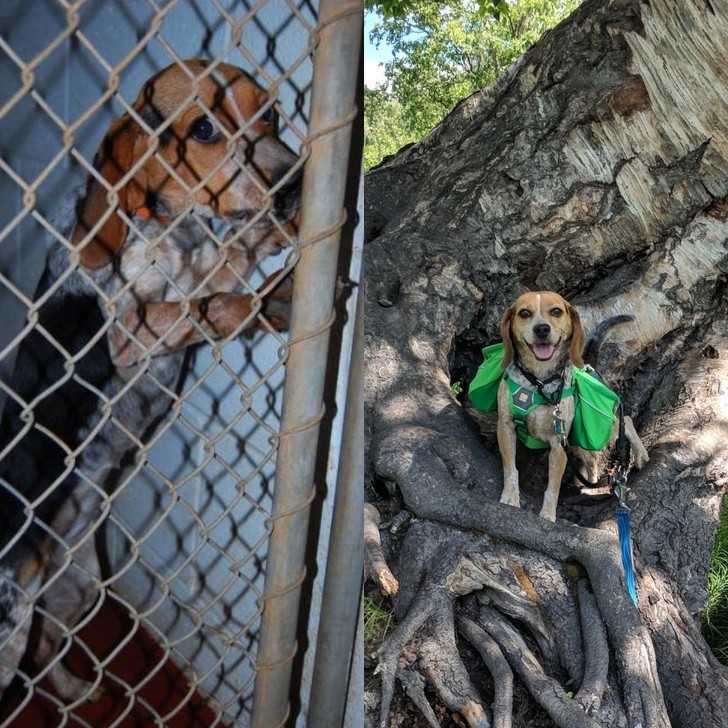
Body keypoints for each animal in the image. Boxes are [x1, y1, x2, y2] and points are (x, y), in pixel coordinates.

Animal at [0, 61, 302, 700]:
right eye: (204, 128)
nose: (294, 184)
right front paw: (261, 293)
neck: (171, 225)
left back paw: (76, 690)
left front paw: (276, 259)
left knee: (46, 644)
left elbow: (232, 254)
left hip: (80, 587)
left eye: (270, 112)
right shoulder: (130, 329)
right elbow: (215, 300)